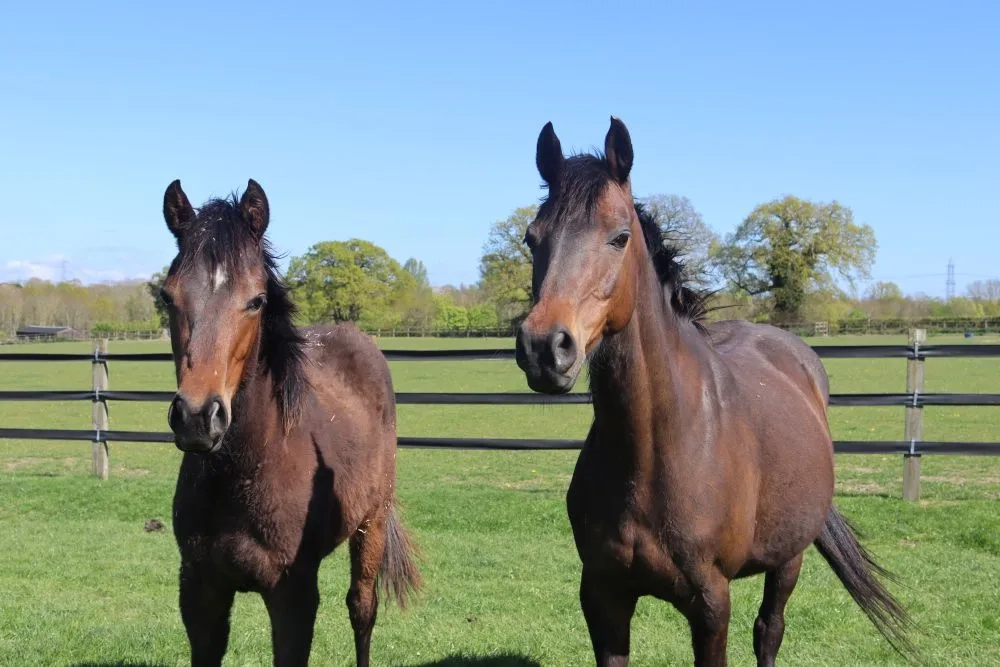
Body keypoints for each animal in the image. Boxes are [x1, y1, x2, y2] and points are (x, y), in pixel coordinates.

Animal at [160, 179, 419, 666]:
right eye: (168, 297)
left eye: (256, 301)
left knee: (362, 608)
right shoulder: (200, 593)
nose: (198, 418)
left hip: (372, 523)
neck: (246, 472)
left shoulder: (293, 596)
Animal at [515, 118, 911, 666]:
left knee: (769, 630)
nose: (544, 347)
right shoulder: (602, 596)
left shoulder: (710, 602)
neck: (655, 451)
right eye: (532, 239)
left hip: (788, 557)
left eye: (619, 237)